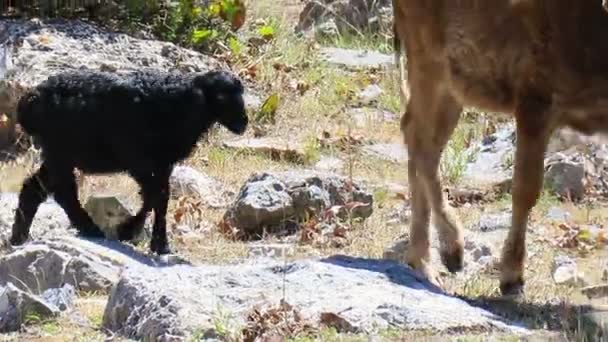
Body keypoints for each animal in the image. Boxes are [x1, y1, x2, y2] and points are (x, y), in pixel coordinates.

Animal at [8, 69, 248, 254]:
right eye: (222, 97)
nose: (243, 123)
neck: (178, 103)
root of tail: (28, 101)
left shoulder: (162, 163)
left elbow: (158, 197)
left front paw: (145, 237)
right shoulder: (138, 159)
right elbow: (157, 196)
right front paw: (140, 235)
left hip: (58, 153)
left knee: (35, 188)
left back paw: (19, 237)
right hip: (60, 150)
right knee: (63, 192)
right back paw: (90, 229)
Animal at [392, 0, 608, 296]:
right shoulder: (534, 94)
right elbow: (526, 189)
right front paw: (511, 277)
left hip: (454, 82)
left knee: (419, 134)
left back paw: (423, 261)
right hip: (428, 55)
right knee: (419, 138)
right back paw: (450, 250)